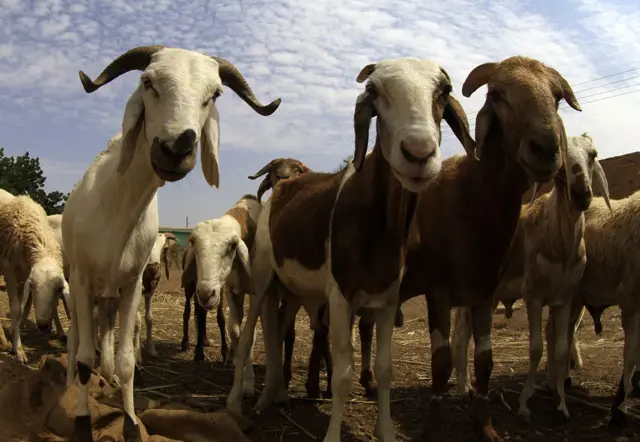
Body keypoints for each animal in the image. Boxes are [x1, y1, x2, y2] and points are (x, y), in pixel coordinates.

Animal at [0, 195, 70, 364]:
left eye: (59, 289)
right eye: (33, 286)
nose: (43, 326)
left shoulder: (24, 276)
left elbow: (23, 308)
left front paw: (14, 338)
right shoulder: (10, 272)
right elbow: (16, 310)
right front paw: (18, 350)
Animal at [61, 43, 282, 440]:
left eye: (214, 94)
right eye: (148, 82)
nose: (177, 147)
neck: (117, 208)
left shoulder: (132, 283)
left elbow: (126, 359)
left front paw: (130, 422)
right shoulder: (84, 279)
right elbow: (85, 357)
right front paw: (83, 422)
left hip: (110, 294)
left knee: (106, 335)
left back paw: (108, 378)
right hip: (79, 280)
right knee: (77, 344)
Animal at [448, 132, 612, 424]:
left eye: (592, 155)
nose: (581, 194)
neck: (559, 242)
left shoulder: (564, 299)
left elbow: (560, 348)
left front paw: (561, 404)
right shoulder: (533, 297)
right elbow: (535, 348)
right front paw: (525, 404)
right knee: (461, 336)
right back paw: (463, 388)